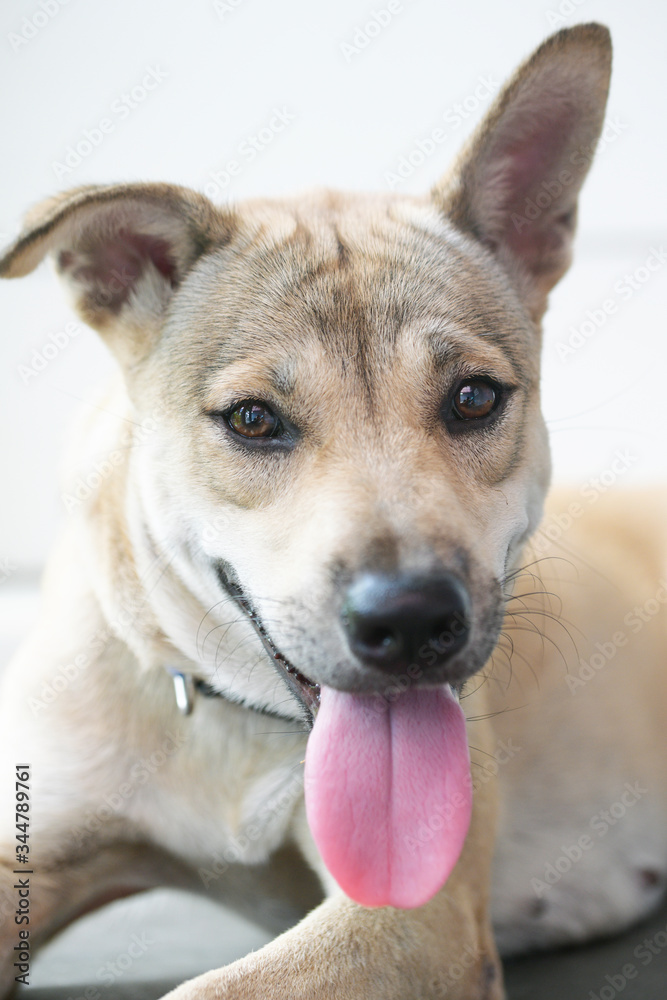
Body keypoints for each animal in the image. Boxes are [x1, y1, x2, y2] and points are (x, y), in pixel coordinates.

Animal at [0, 23, 664, 1000]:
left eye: (473, 398)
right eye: (252, 419)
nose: (412, 620)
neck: (231, 720)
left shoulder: (406, 921)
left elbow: (204, 990)